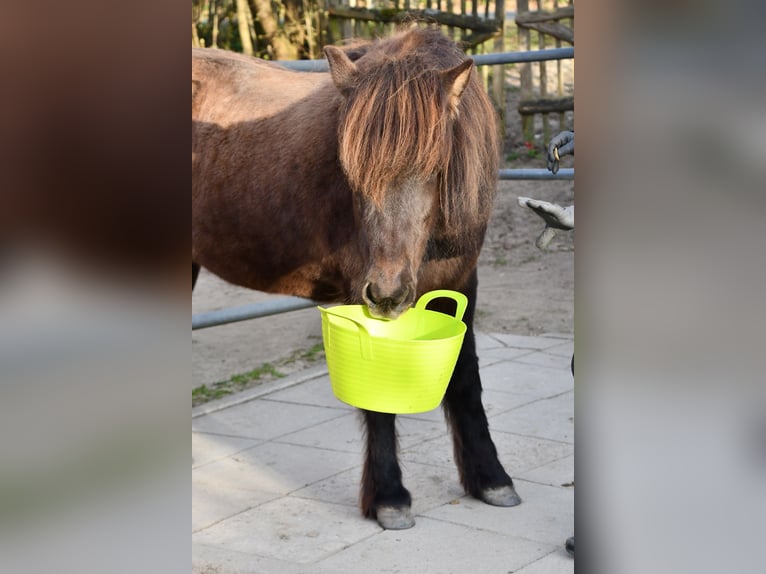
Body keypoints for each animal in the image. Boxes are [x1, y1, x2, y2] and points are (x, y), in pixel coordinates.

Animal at [192, 26, 521, 529]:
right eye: (351, 171)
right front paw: (389, 498)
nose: (387, 292)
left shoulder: (462, 281)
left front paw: (491, 479)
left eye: (434, 167)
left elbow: (465, 379)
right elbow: (378, 402)